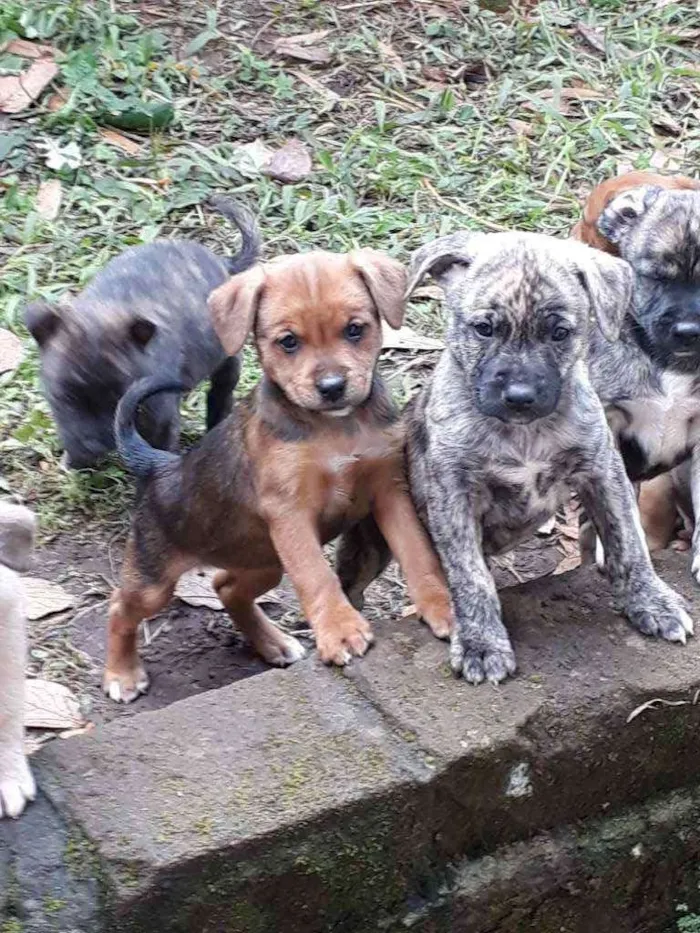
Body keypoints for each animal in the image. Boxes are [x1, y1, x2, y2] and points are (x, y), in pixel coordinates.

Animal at [24, 199, 262, 470]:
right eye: (64, 398)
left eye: (117, 399)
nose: (94, 447)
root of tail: (223, 262)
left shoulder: (161, 417)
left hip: (228, 359)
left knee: (221, 392)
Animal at [104, 248, 454, 700]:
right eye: (288, 341)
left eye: (355, 329)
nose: (332, 387)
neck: (333, 430)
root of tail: (162, 465)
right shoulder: (291, 514)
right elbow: (317, 576)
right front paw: (340, 631)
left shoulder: (389, 491)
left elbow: (418, 554)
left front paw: (443, 606)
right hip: (154, 580)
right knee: (121, 608)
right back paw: (121, 673)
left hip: (263, 561)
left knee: (226, 588)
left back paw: (272, 643)